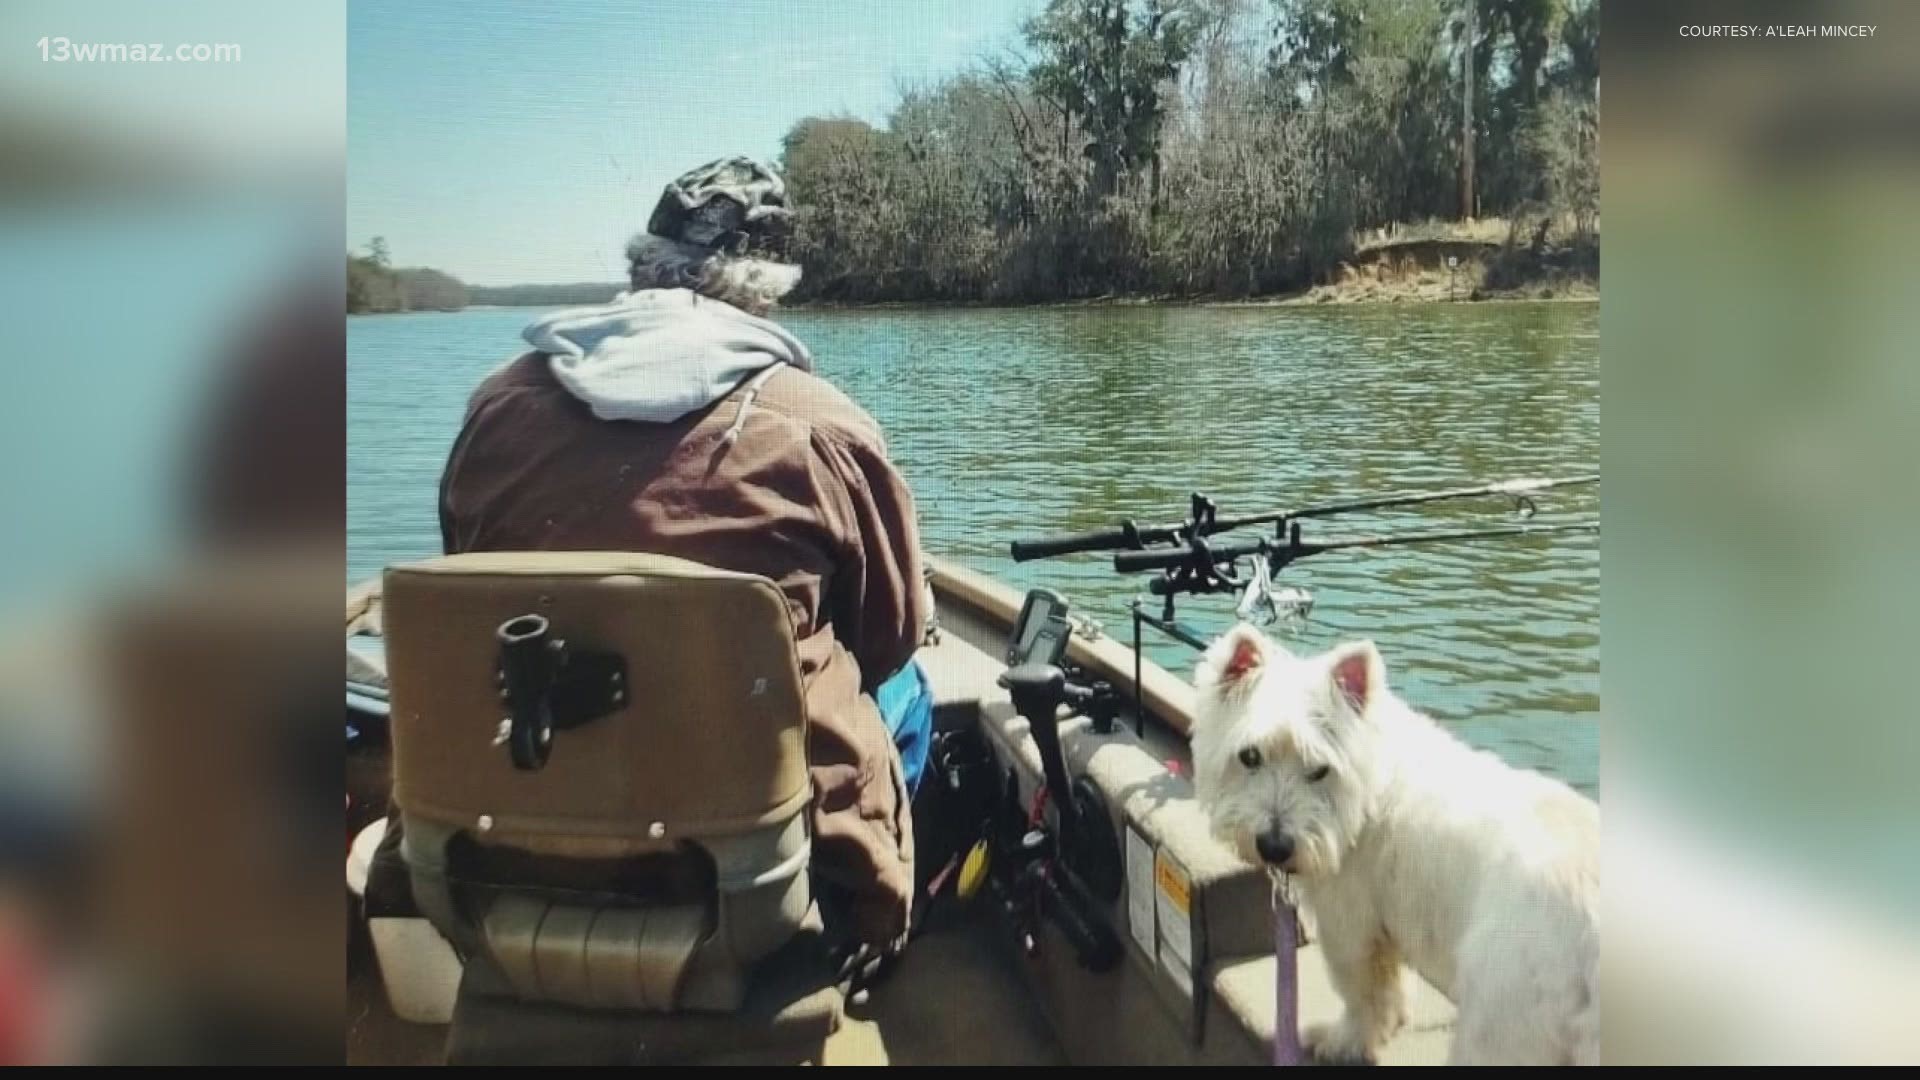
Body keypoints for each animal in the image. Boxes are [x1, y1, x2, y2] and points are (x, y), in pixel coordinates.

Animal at [1198, 622, 1589, 1060]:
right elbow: (1390, 983)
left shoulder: (1348, 923)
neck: (1368, 792)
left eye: (1320, 769)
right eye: (1250, 756)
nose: (1274, 847)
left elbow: (1361, 991)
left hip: (1503, 1011)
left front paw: (1344, 1040)